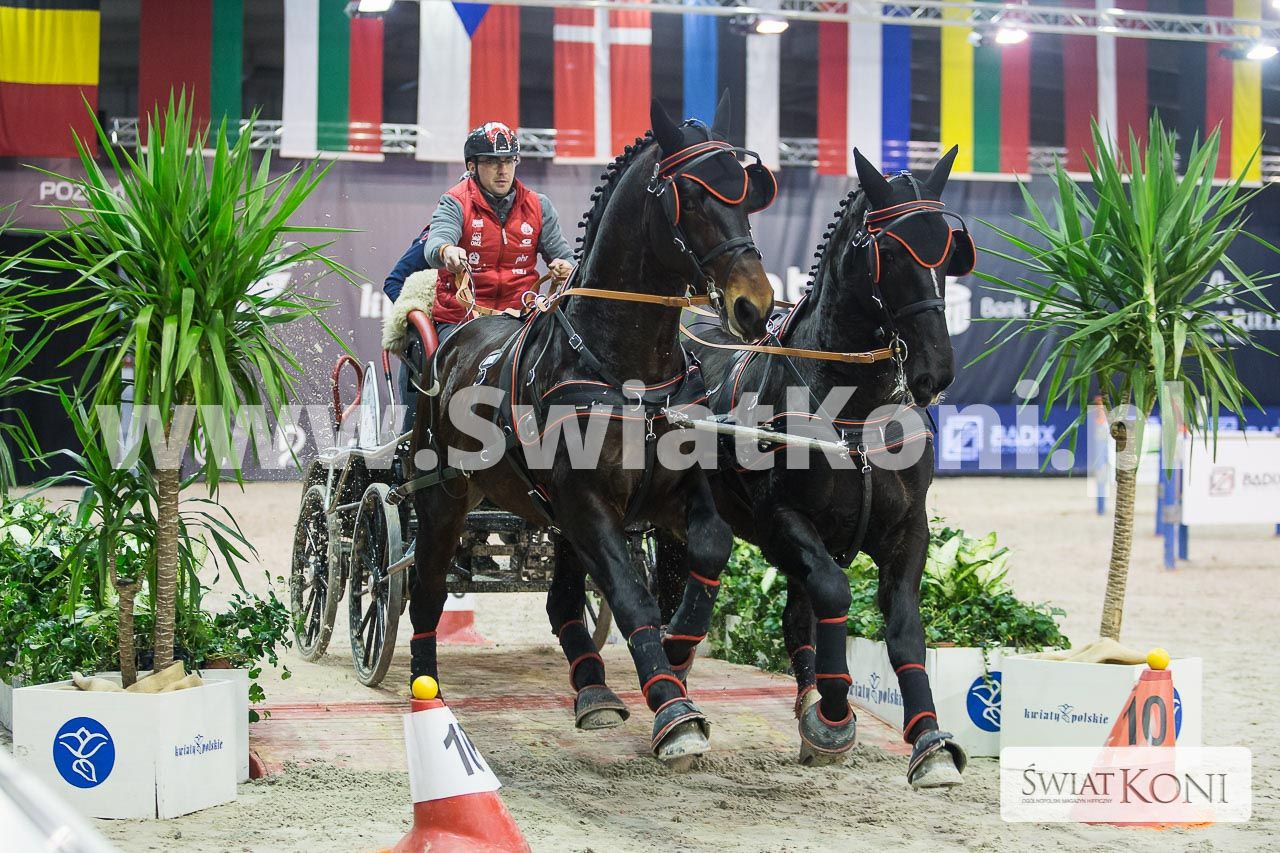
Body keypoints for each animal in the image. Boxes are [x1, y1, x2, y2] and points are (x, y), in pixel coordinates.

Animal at [401, 95, 778, 765]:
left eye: (744, 194)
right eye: (691, 196)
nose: (753, 306)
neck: (624, 368)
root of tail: (456, 337)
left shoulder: (670, 495)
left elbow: (707, 549)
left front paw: (677, 651)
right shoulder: (587, 503)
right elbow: (629, 593)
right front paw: (674, 710)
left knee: (560, 598)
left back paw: (594, 689)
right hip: (445, 497)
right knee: (426, 588)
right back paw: (428, 689)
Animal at [653, 147, 975, 787]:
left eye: (949, 250)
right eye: (891, 252)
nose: (935, 370)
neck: (852, 410)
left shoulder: (908, 532)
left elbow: (904, 631)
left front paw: (927, 739)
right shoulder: (781, 520)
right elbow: (833, 592)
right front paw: (832, 711)